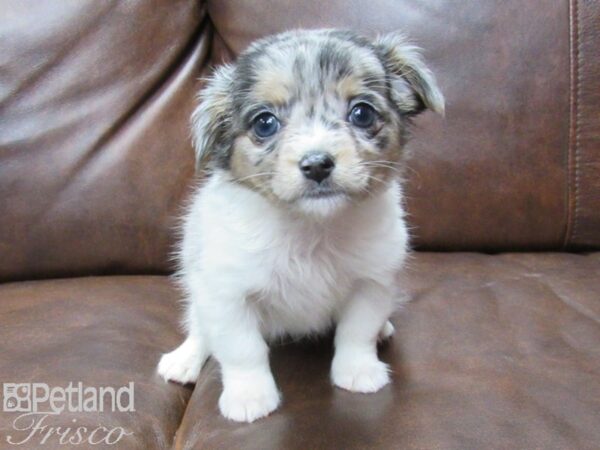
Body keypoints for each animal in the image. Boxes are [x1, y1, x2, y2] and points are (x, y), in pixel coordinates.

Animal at [157, 28, 442, 422]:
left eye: (362, 113)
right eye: (265, 123)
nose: (317, 164)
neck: (311, 230)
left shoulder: (372, 282)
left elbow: (357, 331)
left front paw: (358, 370)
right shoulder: (227, 295)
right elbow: (242, 349)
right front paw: (250, 396)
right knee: (199, 327)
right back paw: (184, 360)